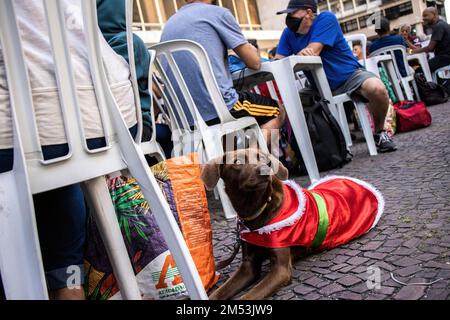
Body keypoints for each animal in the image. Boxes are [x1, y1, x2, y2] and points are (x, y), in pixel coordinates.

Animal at [204, 149, 384, 298]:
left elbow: (249, 296)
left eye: (263, 158)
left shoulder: (281, 270)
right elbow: (218, 293)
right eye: (237, 162)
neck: (257, 211)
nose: (265, 169)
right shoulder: (248, 266)